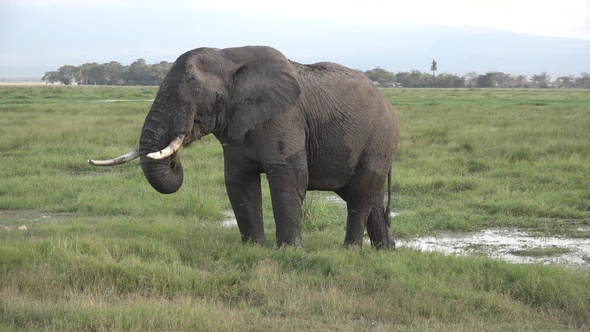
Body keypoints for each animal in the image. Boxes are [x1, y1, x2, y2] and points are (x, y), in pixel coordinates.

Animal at [89, 46, 402, 249]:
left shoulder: (285, 117)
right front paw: (254, 248)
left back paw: (351, 251)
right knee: (370, 197)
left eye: (195, 93)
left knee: (360, 195)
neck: (229, 57)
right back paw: (384, 251)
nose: (176, 158)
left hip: (378, 140)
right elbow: (239, 181)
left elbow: (289, 177)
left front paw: (289, 252)